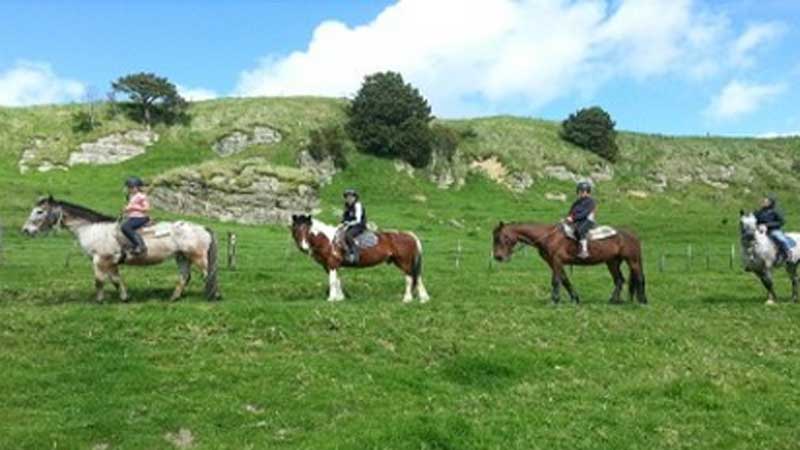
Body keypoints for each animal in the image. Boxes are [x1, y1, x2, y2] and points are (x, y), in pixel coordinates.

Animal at [23, 196, 220, 302]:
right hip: (182, 257)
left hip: (197, 257)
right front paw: (125, 298)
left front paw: (99, 301)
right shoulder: (111, 262)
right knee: (184, 276)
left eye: (39, 211)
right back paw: (174, 297)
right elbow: (116, 280)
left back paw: (213, 296)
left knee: (208, 275)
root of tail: (203, 228)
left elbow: (99, 281)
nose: (26, 230)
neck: (93, 228)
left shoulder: (100, 259)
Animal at [292, 214, 432, 302]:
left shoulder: (332, 264)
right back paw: (423, 298)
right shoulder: (329, 266)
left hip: (404, 262)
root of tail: (409, 235)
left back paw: (407, 299)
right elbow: (337, 280)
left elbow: (332, 281)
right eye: (295, 230)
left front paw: (331, 299)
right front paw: (340, 298)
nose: (304, 247)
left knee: (409, 278)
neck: (328, 240)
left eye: (307, 230)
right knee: (417, 277)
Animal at [490, 222, 648, 306]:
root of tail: (633, 235)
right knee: (619, 280)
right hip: (612, 262)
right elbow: (565, 280)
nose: (498, 257)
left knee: (639, 278)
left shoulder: (556, 261)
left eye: (501, 237)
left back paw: (642, 301)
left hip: (633, 261)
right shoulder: (554, 263)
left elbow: (556, 281)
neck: (549, 237)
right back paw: (613, 300)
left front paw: (554, 300)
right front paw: (575, 299)